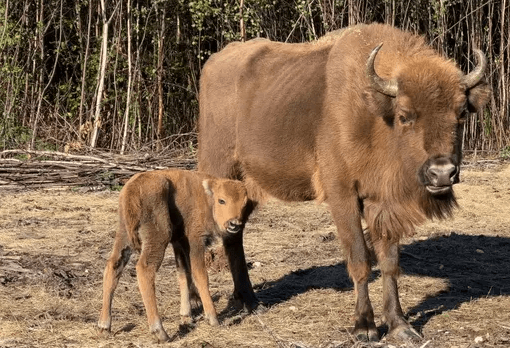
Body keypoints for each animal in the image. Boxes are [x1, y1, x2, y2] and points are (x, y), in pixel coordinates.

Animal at [98, 170, 249, 342]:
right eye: (222, 200)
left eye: (244, 204)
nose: (234, 224)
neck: (207, 198)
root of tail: (131, 188)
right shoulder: (196, 241)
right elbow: (200, 276)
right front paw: (213, 319)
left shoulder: (179, 243)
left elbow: (184, 275)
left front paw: (186, 316)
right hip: (158, 238)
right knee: (145, 270)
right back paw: (160, 332)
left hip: (124, 236)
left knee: (113, 267)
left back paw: (104, 327)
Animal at [196, 23, 490, 342]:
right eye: (405, 115)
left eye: (461, 113)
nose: (442, 173)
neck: (375, 112)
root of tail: (213, 63)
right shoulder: (343, 196)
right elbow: (360, 259)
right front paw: (364, 328)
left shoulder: (381, 203)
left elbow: (389, 263)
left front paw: (400, 326)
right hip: (219, 176)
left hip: (246, 190)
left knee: (234, 235)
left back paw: (251, 302)